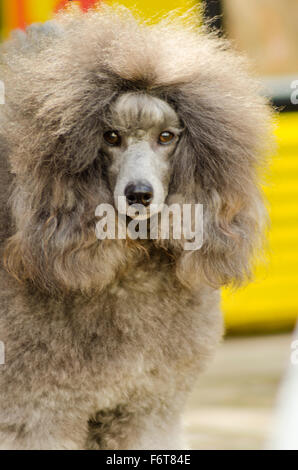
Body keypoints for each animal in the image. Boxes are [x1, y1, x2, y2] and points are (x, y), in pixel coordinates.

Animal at [0, 5, 272, 450]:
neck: (130, 268)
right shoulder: (37, 414)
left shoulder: (147, 406)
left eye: (167, 136)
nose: (139, 194)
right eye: (110, 137)